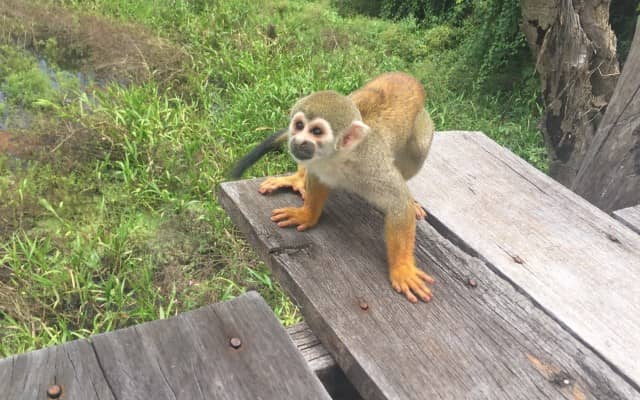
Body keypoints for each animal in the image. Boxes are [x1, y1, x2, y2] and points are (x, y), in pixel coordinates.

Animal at [230, 72, 436, 304]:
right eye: (299, 125)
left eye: (316, 131)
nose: (298, 141)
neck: (338, 158)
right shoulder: (319, 163)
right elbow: (318, 179)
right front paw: (307, 214)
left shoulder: (371, 165)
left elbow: (398, 201)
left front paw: (402, 269)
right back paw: (298, 178)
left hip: (422, 124)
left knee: (419, 147)